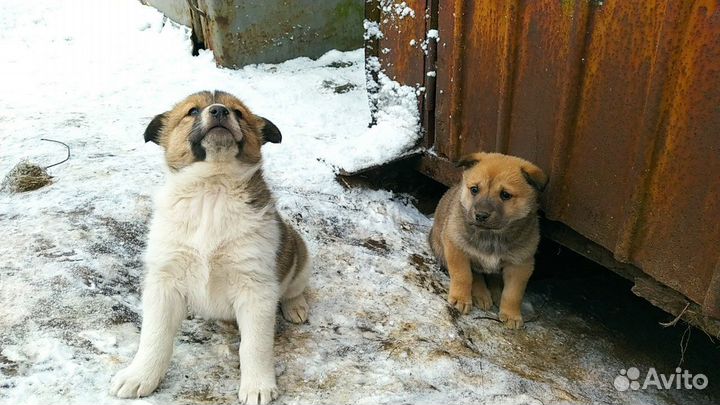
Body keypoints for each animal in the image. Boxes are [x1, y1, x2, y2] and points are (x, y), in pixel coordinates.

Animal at [110, 90, 310, 402]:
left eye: (238, 113)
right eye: (192, 111)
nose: (218, 112)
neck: (211, 188)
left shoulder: (256, 287)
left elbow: (254, 345)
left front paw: (257, 386)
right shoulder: (164, 279)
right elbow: (154, 336)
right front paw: (139, 376)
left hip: (299, 255)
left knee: (294, 288)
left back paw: (296, 307)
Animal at [430, 152, 548, 328]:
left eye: (505, 195)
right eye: (474, 189)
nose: (480, 215)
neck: (491, 236)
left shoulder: (521, 263)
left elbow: (513, 293)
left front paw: (512, 315)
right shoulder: (456, 246)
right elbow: (463, 276)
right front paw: (460, 299)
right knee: (476, 275)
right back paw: (481, 295)